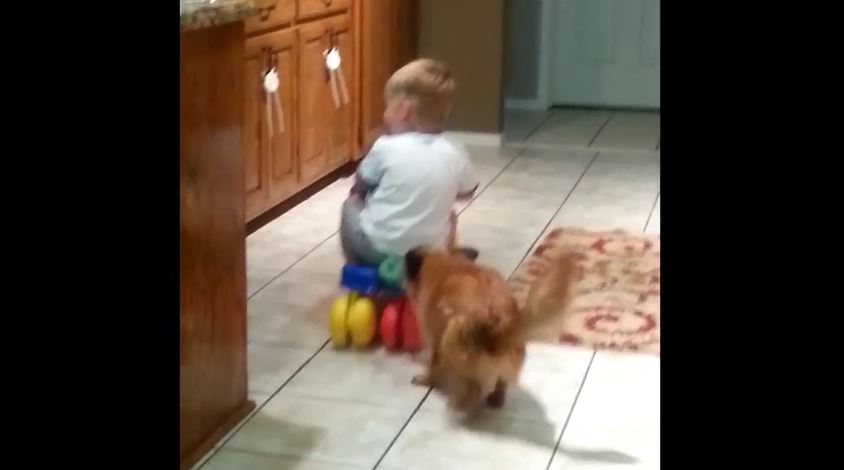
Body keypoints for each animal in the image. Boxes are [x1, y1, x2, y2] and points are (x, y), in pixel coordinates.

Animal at [404, 248, 580, 414]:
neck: (445, 264)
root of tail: (499, 327)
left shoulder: (436, 339)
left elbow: (433, 365)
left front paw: (425, 379)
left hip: (451, 334)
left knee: (473, 388)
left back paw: (461, 406)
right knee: (501, 383)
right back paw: (495, 398)